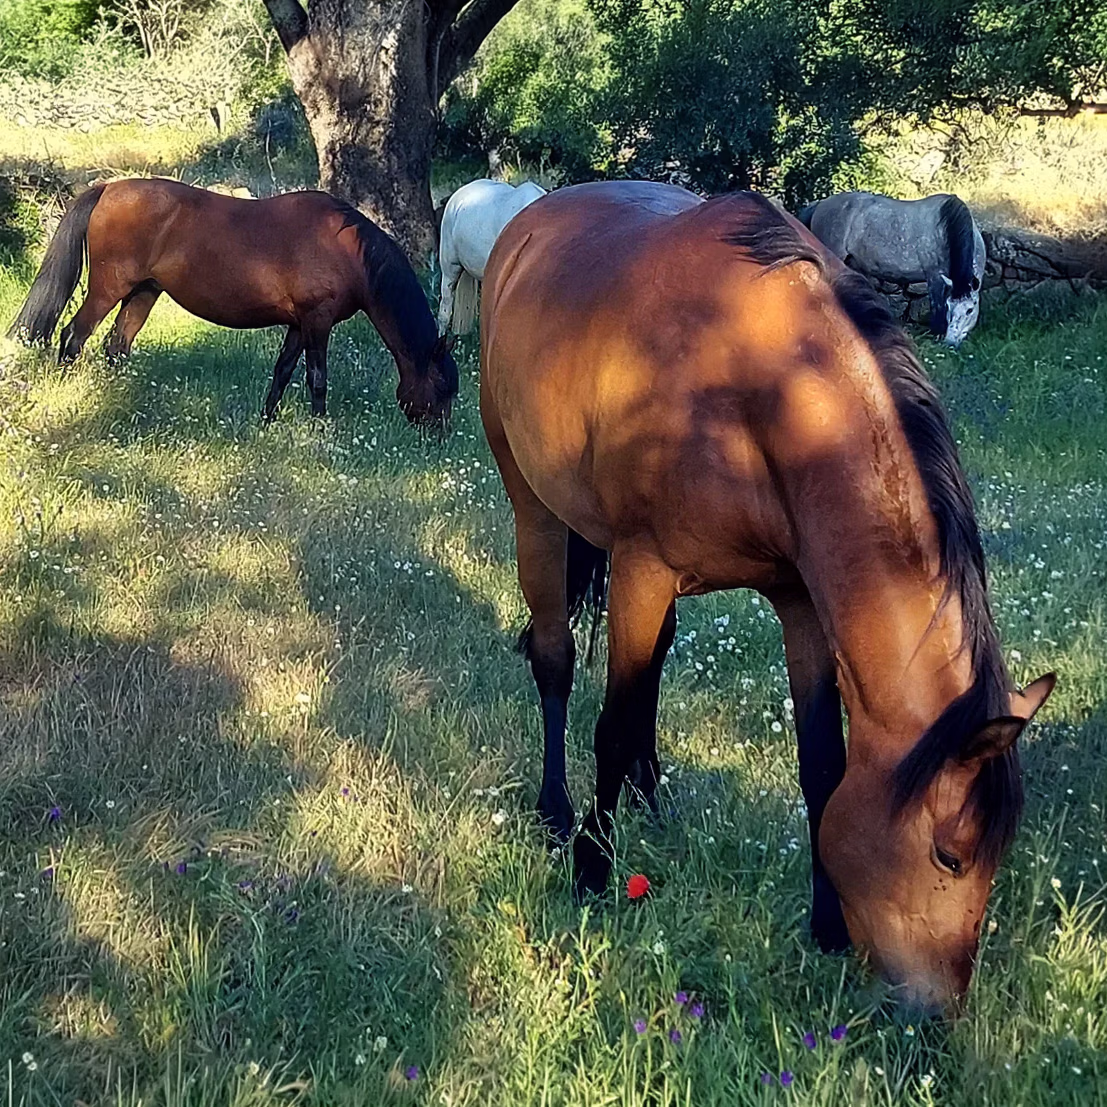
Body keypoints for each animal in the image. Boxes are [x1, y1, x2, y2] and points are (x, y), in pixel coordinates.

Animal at [8, 178, 459, 426]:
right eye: (442, 387)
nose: (438, 437)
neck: (347, 248)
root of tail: (109, 189)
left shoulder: (298, 324)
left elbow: (282, 372)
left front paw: (268, 421)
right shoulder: (317, 320)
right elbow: (316, 378)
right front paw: (320, 430)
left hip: (143, 293)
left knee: (116, 345)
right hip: (108, 289)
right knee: (73, 336)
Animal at [798, 192, 986, 347]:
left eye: (970, 309)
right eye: (950, 306)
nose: (950, 342)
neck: (945, 228)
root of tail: (820, 203)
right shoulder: (934, 276)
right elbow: (937, 305)